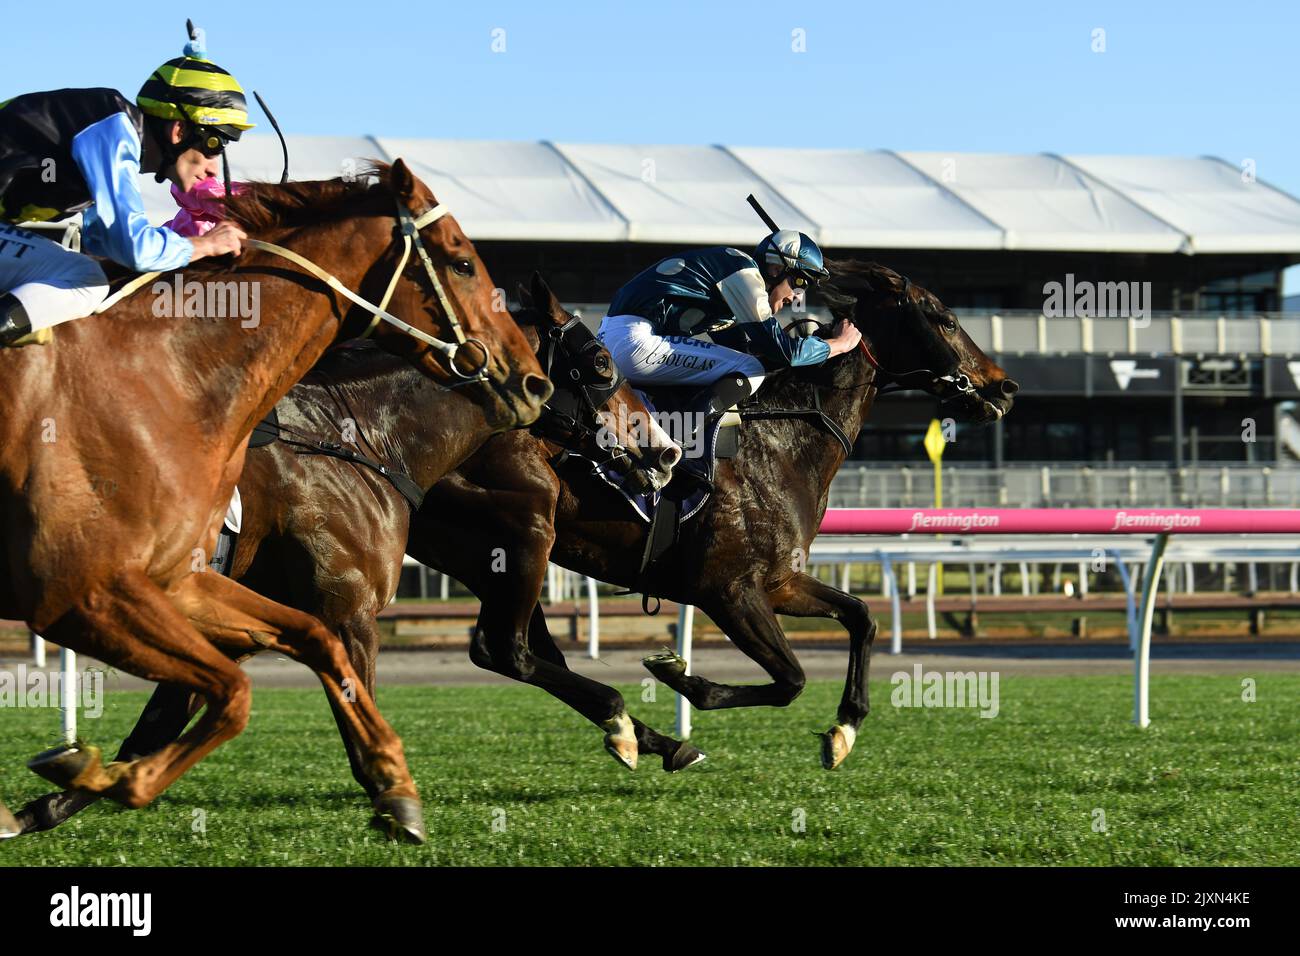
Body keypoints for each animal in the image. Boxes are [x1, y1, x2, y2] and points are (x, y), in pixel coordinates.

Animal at [0, 160, 551, 842]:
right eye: (463, 261)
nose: (533, 383)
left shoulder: (188, 587)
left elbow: (279, 660)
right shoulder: (85, 595)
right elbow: (253, 693)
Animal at [12, 273, 681, 832]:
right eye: (600, 362)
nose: (667, 448)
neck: (360, 438)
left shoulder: (241, 622)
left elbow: (152, 730)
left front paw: (48, 802)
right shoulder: (346, 613)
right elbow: (364, 718)